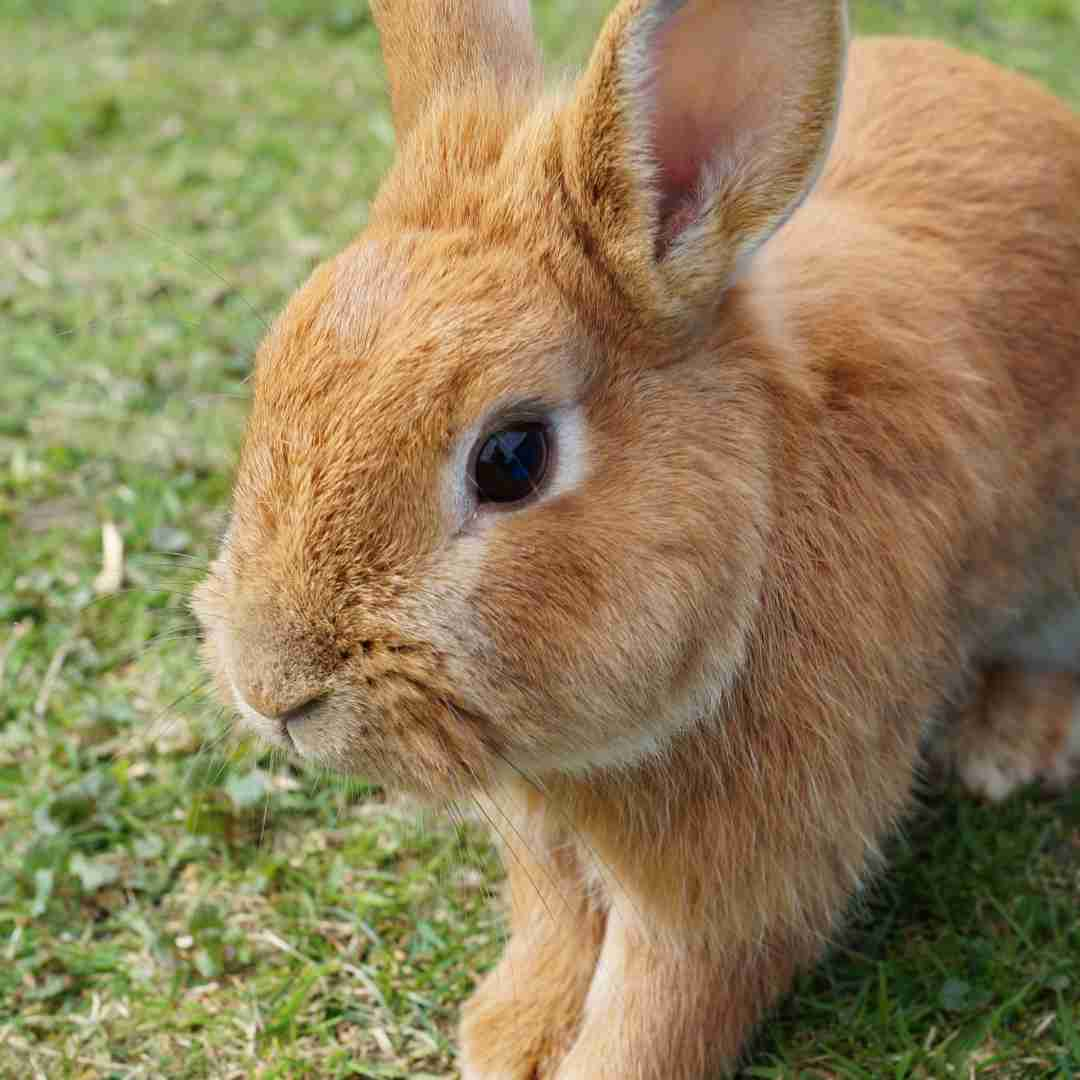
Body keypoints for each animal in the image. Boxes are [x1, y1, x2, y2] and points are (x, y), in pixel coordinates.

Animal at [194, 2, 1080, 1080]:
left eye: (512, 458)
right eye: (273, 371)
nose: (272, 691)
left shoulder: (751, 867)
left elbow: (668, 995)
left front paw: (593, 1063)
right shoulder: (544, 839)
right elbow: (558, 922)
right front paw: (508, 1039)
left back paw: (1010, 746)